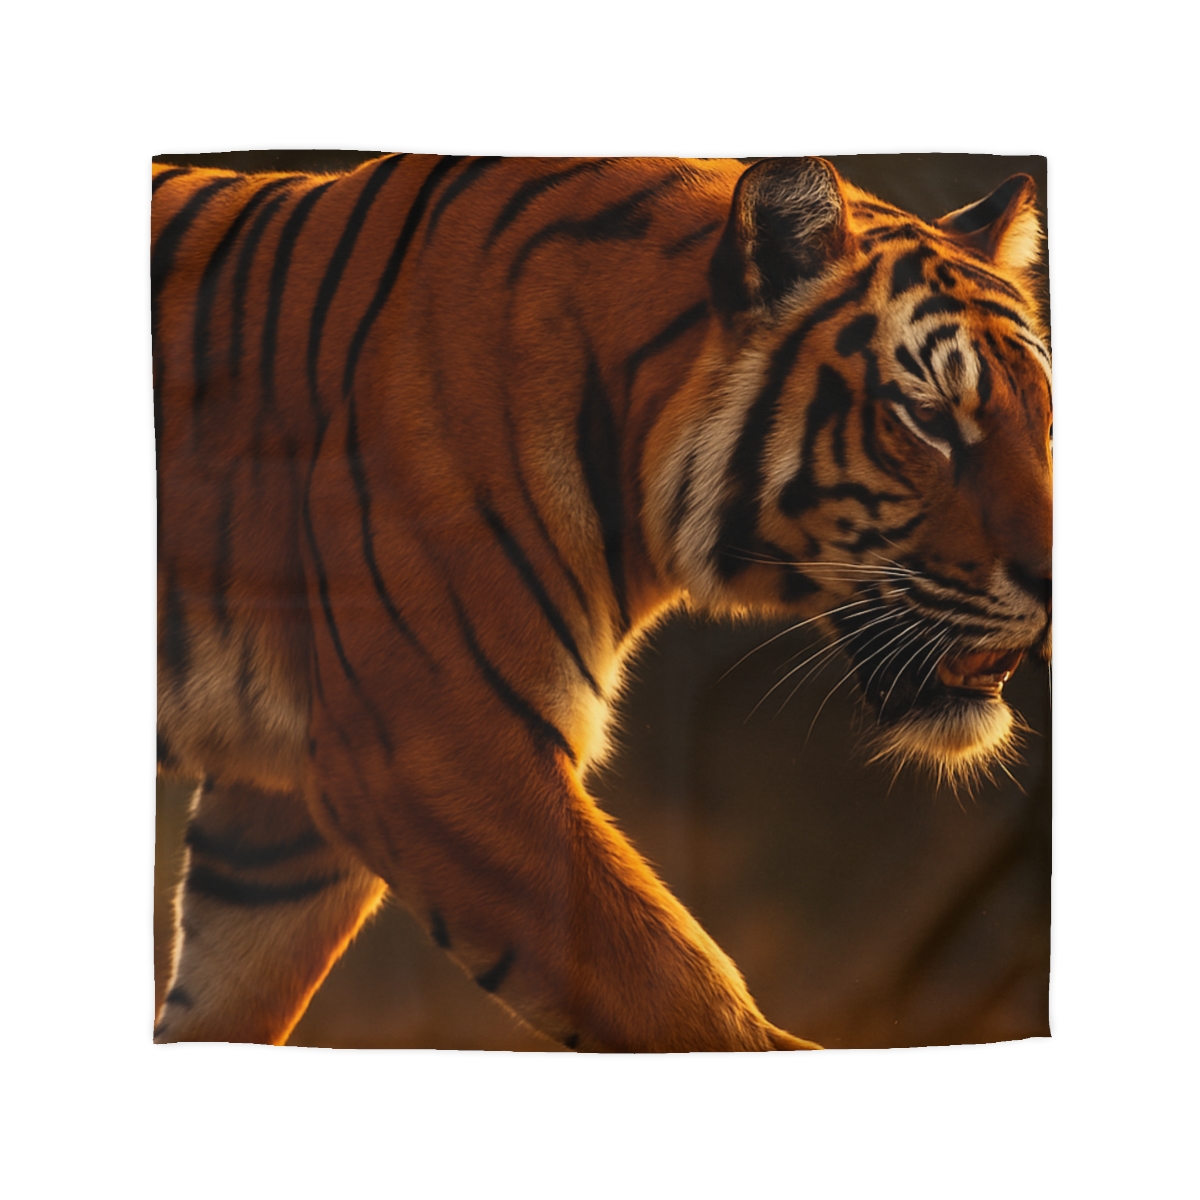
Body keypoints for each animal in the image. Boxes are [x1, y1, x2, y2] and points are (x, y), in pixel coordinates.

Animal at [153, 154, 1051, 1051]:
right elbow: (679, 988)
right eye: (929, 417)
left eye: (1045, 420)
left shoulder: (283, 821)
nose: (1054, 584)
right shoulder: (438, 746)